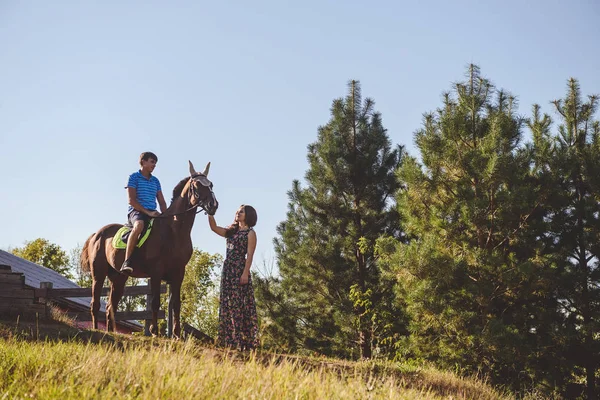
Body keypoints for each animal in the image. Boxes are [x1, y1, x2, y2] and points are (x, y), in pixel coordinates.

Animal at [81, 161, 218, 336]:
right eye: (196, 185)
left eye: (211, 184)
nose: (213, 205)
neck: (174, 230)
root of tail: (97, 234)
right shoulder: (156, 272)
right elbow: (155, 302)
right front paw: (154, 331)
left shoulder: (178, 273)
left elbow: (176, 304)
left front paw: (176, 334)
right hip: (98, 274)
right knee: (95, 303)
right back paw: (96, 329)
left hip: (118, 277)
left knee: (111, 305)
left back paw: (111, 331)